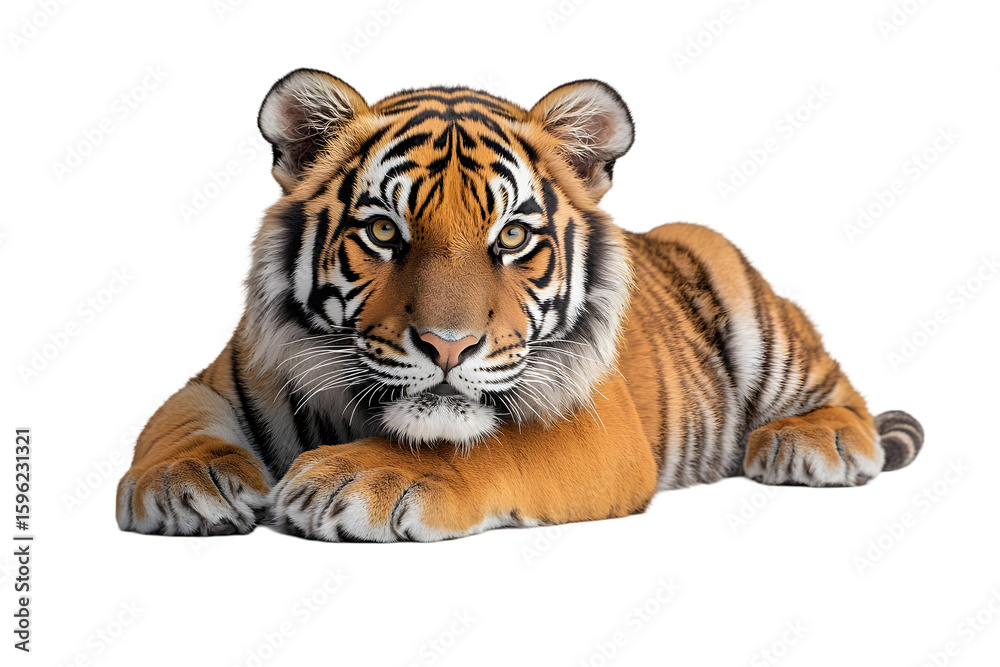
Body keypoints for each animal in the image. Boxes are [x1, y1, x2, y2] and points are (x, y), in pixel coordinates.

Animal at [116, 69, 925, 541]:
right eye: (384, 231)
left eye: (511, 236)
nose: (447, 345)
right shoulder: (220, 378)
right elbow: (175, 425)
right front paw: (184, 483)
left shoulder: (595, 421)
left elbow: (486, 442)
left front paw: (355, 479)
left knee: (839, 391)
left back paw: (809, 442)